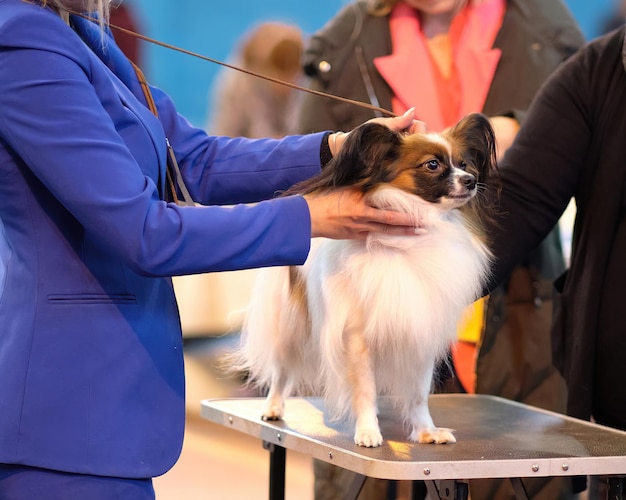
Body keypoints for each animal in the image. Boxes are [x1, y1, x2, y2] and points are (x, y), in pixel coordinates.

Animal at [235, 114, 498, 450]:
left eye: (464, 163)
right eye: (432, 165)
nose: (470, 180)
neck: (410, 241)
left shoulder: (420, 335)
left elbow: (418, 395)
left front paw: (426, 431)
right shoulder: (356, 339)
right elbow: (364, 390)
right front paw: (368, 431)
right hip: (290, 327)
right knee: (281, 372)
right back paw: (272, 407)